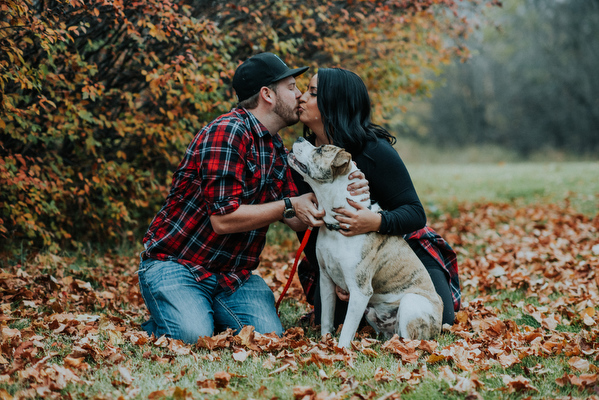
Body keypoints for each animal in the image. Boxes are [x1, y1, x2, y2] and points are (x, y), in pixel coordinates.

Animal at [288, 137, 442, 346]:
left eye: (320, 149)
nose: (299, 138)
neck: (336, 225)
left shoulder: (360, 292)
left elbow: (346, 331)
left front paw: (340, 350)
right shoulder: (326, 279)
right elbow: (326, 319)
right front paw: (325, 343)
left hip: (410, 303)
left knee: (409, 340)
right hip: (371, 312)